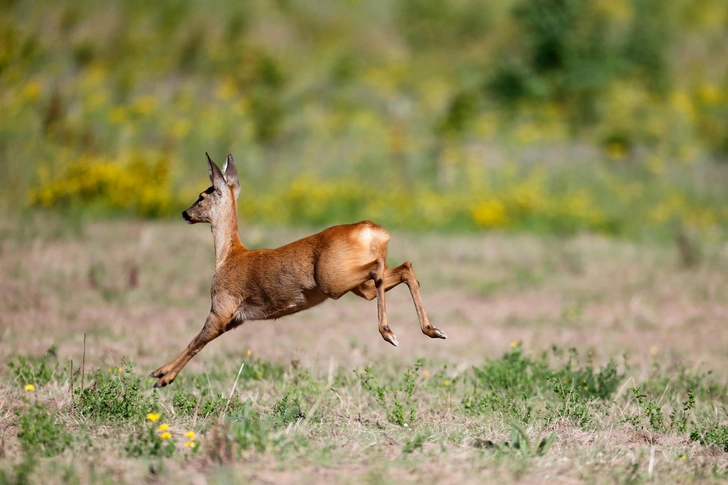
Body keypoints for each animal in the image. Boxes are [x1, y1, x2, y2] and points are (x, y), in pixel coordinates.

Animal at [151, 153, 446, 388]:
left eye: (202, 196)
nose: (185, 213)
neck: (228, 256)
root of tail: (373, 231)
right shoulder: (236, 320)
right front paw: (161, 374)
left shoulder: (222, 307)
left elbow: (197, 341)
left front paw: (161, 376)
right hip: (357, 287)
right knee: (404, 268)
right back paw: (433, 330)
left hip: (332, 280)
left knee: (379, 269)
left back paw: (389, 332)